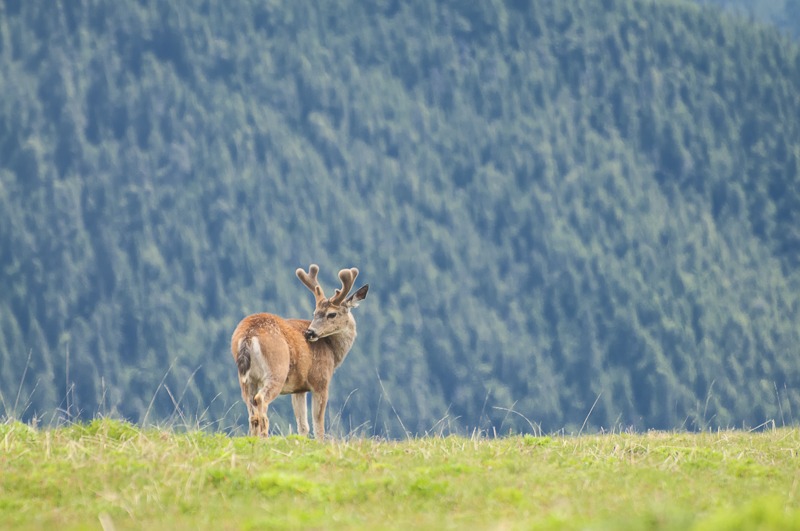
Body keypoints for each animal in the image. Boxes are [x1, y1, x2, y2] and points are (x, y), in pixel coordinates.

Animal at [231, 264, 369, 439]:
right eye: (315, 313)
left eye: (331, 314)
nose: (310, 332)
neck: (331, 350)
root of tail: (248, 335)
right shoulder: (320, 380)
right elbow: (318, 425)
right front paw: (320, 443)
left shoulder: (298, 388)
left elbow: (302, 426)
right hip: (277, 369)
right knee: (261, 400)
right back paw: (265, 438)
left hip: (246, 379)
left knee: (251, 412)